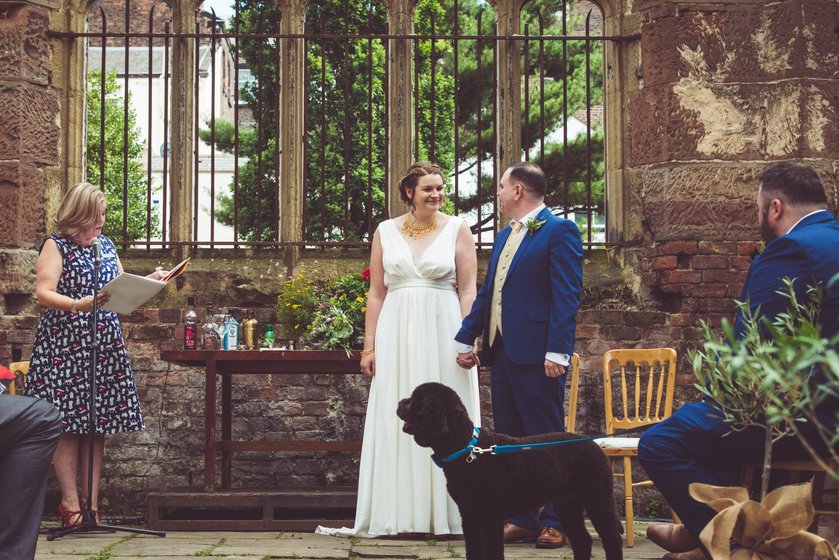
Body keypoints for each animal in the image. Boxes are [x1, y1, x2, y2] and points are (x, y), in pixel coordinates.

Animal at [396, 382, 624, 556]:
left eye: (414, 400)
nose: (398, 403)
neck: (467, 449)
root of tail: (594, 444)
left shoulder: (490, 516)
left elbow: (492, 552)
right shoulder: (469, 515)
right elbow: (473, 552)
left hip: (598, 498)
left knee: (612, 539)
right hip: (568, 505)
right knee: (582, 540)